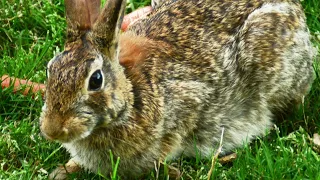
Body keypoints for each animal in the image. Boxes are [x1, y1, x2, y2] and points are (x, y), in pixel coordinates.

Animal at [38, 0, 314, 179]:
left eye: (95, 80)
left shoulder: (190, 102)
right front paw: (63, 170)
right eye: (50, 69)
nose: (52, 130)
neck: (130, 97)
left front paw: (169, 171)